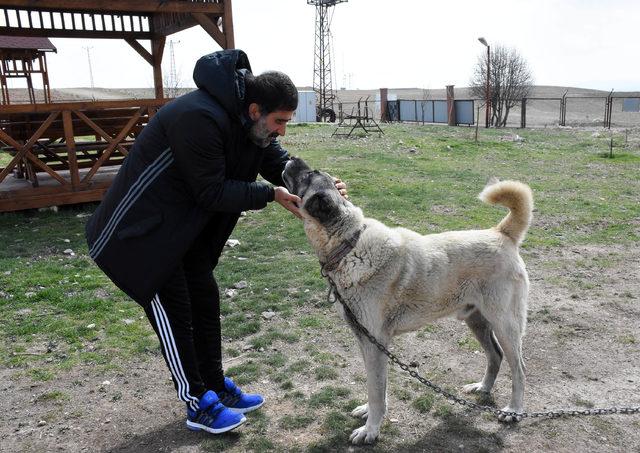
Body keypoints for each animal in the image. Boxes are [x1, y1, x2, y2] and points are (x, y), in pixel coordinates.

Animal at [282, 157, 532, 444]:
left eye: (309, 175)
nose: (290, 159)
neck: (349, 245)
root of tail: (501, 233)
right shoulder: (367, 342)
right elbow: (376, 386)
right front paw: (369, 414)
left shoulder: (375, 342)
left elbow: (376, 390)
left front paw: (370, 430)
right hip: (477, 321)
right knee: (495, 355)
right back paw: (483, 387)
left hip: (505, 325)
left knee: (519, 368)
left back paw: (514, 410)